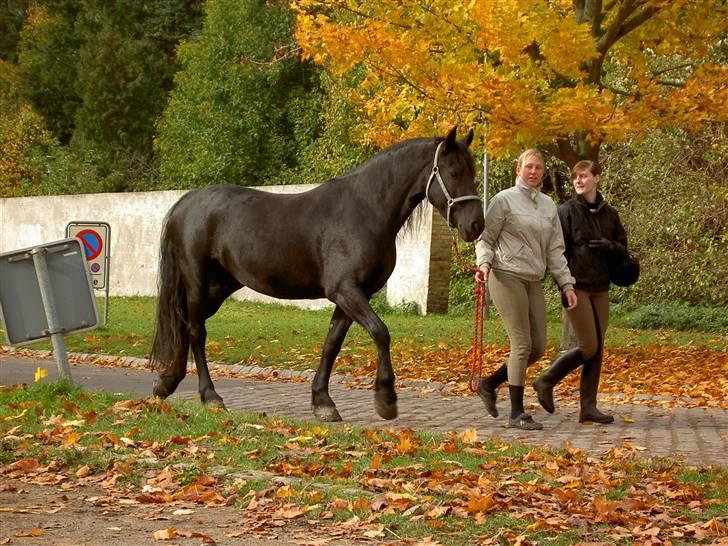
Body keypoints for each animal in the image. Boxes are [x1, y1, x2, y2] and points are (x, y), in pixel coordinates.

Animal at [151, 126, 484, 420]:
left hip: (219, 287)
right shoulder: (346, 290)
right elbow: (380, 332)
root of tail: (188, 202)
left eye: (473, 173)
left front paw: (323, 402)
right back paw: (210, 396)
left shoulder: (351, 296)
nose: (476, 225)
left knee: (185, 326)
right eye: (454, 172)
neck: (364, 211)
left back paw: (167, 382)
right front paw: (386, 399)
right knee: (196, 331)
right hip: (197, 282)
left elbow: (331, 344)